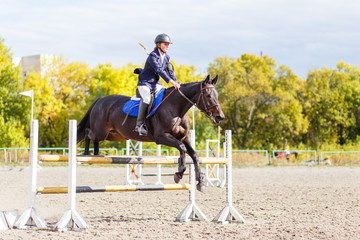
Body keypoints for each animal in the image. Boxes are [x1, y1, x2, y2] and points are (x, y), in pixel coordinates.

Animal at [77, 75, 225, 191]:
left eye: (217, 96)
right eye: (208, 96)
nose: (220, 117)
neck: (176, 109)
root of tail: (100, 100)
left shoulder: (183, 137)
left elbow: (194, 155)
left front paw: (200, 181)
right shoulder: (161, 137)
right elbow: (182, 148)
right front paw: (179, 173)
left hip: (113, 135)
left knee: (93, 137)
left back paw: (96, 154)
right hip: (101, 131)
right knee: (88, 133)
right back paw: (86, 154)